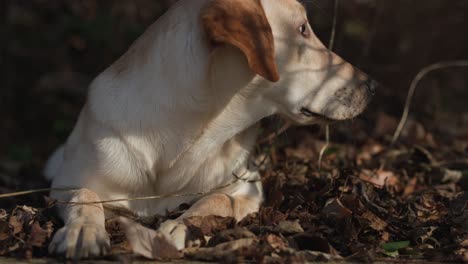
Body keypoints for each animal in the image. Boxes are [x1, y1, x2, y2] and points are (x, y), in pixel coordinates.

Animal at [44, 0, 376, 260]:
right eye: (303, 29)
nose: (371, 85)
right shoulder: (68, 180)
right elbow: (84, 194)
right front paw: (82, 230)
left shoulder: (247, 185)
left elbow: (215, 200)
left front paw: (181, 226)